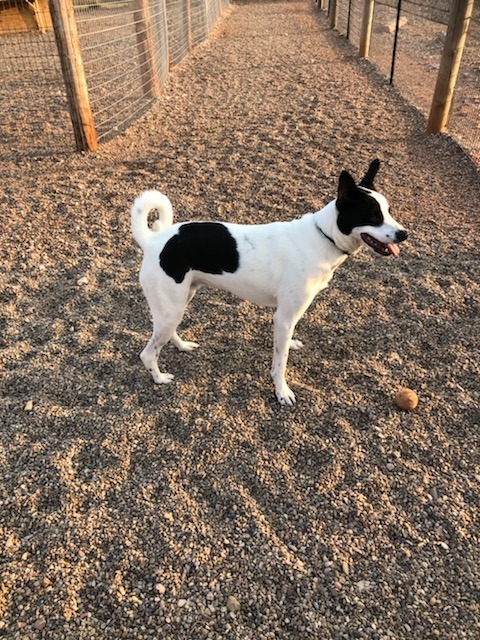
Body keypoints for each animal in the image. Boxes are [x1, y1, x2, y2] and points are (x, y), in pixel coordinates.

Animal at [130, 162, 404, 408]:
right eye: (373, 216)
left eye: (389, 211)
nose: (404, 234)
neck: (322, 237)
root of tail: (154, 241)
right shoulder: (283, 316)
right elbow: (280, 363)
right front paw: (282, 392)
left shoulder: (287, 317)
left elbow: (284, 345)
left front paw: (289, 345)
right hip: (171, 306)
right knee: (148, 353)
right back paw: (159, 378)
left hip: (180, 300)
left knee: (165, 332)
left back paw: (182, 345)